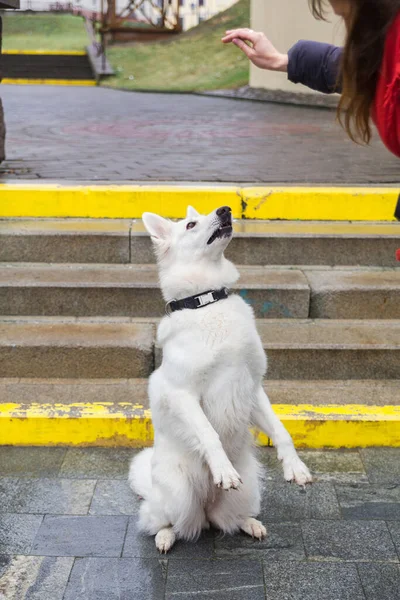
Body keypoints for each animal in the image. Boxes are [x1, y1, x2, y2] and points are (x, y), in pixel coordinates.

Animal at [130, 205, 310, 552]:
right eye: (190, 224)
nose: (225, 209)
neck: (206, 302)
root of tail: (205, 506)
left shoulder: (253, 387)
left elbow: (281, 430)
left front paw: (294, 466)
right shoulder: (183, 393)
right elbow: (208, 433)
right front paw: (223, 469)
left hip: (249, 491)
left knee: (223, 521)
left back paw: (249, 524)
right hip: (178, 496)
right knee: (166, 521)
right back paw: (165, 535)